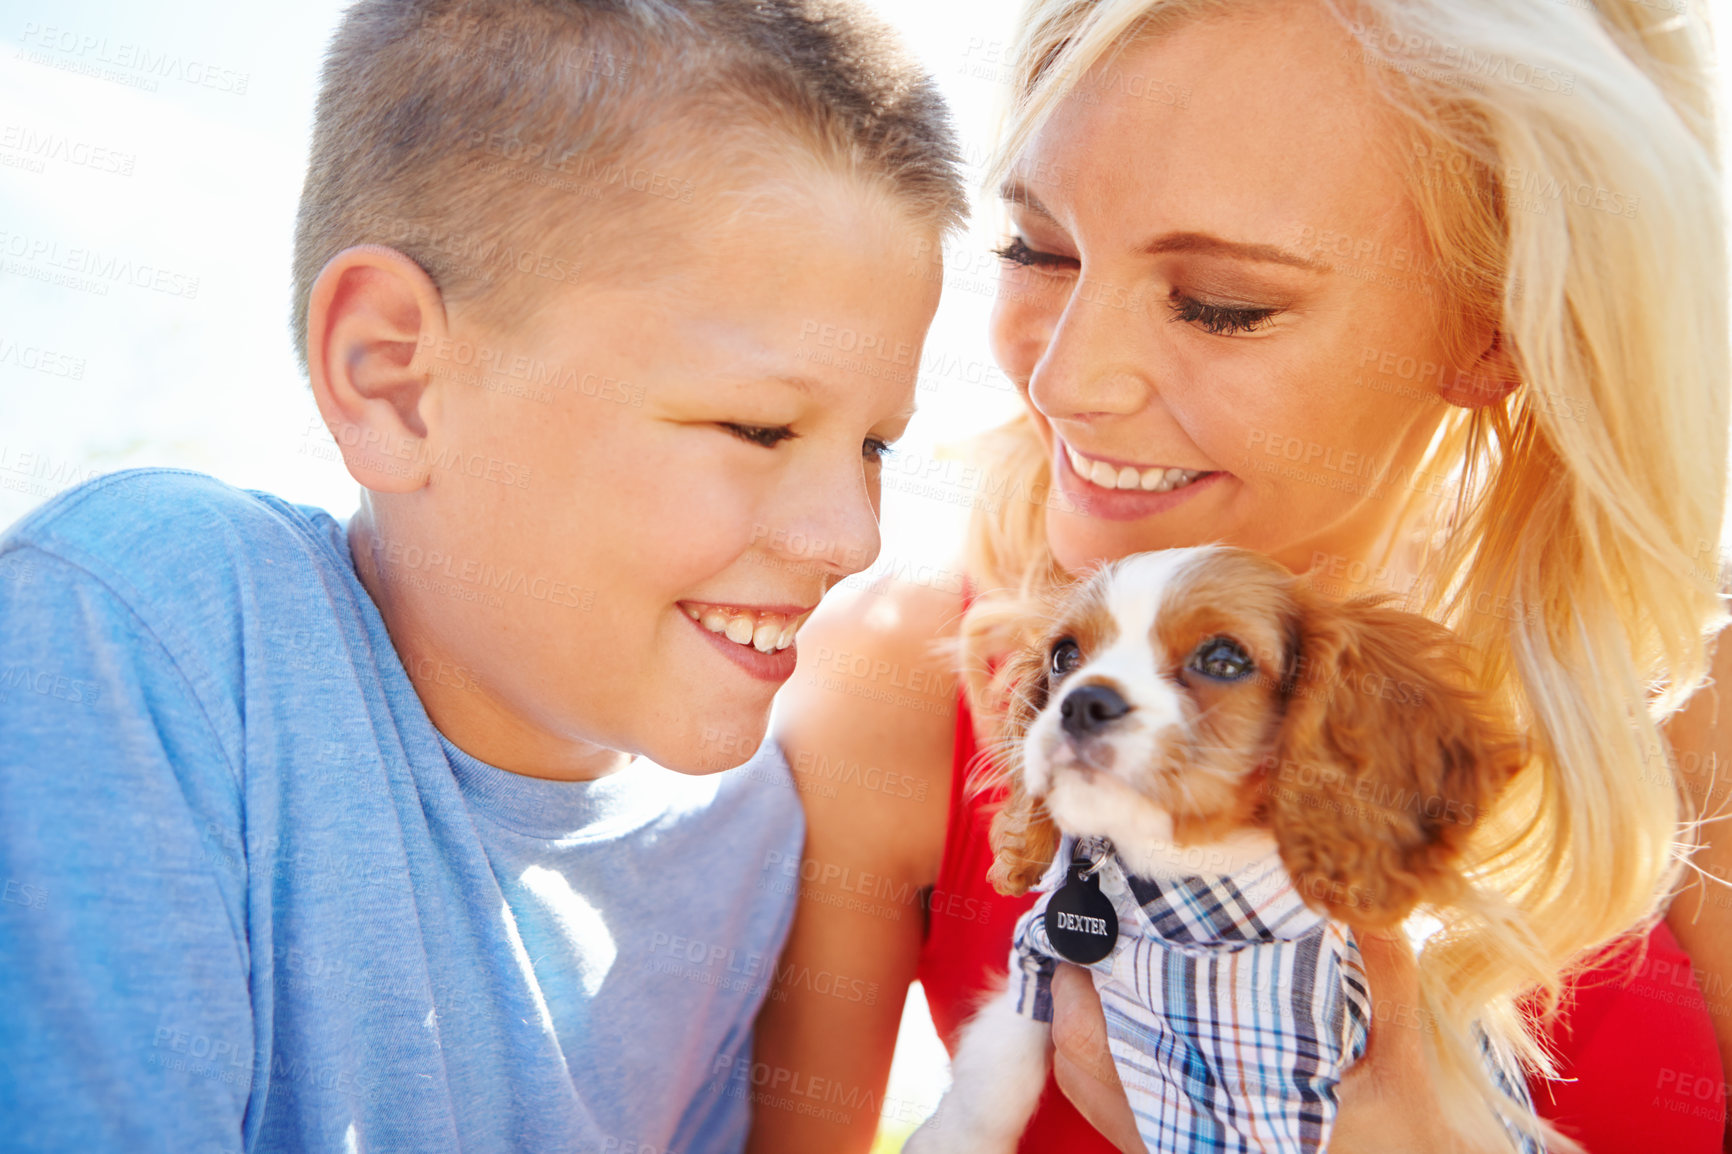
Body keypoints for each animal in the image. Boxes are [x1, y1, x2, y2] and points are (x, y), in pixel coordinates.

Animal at [914, 547, 1524, 1150]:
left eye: (1224, 661)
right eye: (1065, 656)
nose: (1083, 702)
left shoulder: (1260, 1100)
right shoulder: (1039, 953)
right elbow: (996, 1069)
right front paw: (951, 1139)